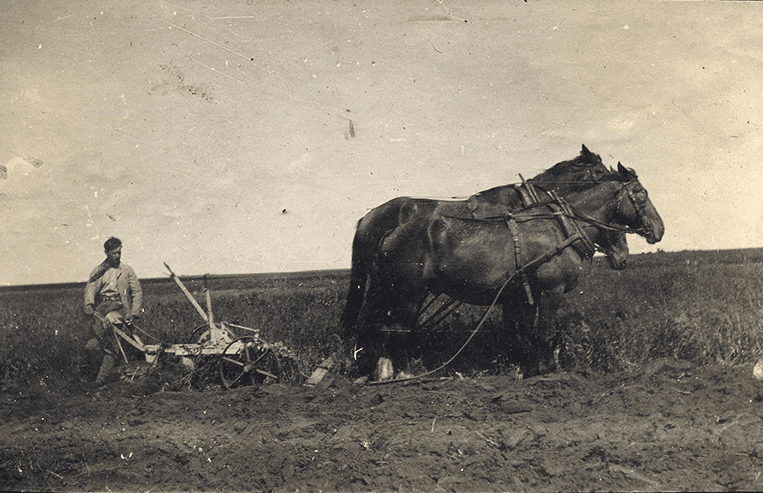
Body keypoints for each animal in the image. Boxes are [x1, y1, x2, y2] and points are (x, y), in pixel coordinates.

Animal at [354, 163, 664, 378]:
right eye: (641, 194)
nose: (659, 230)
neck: (561, 227)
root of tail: (389, 232)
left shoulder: (523, 295)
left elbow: (523, 333)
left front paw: (527, 368)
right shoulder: (550, 293)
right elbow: (543, 334)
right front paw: (545, 372)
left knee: (384, 326)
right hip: (410, 293)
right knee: (399, 329)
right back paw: (405, 374)